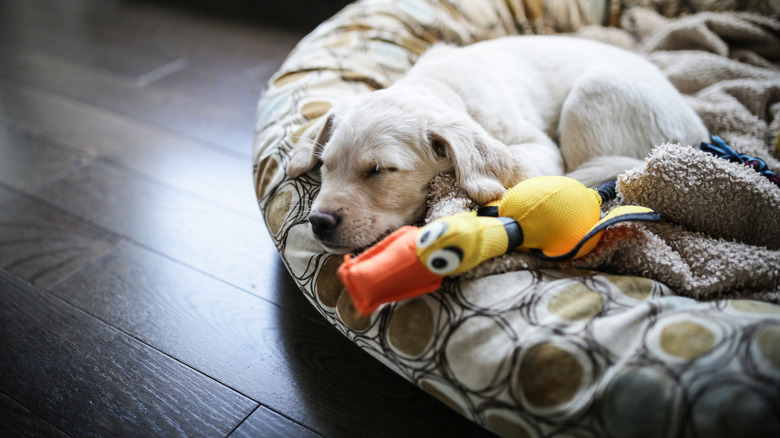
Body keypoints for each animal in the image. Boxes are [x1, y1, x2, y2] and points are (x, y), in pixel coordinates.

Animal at [284, 36, 708, 255]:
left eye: (380, 171)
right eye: (325, 165)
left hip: (593, 92)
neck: (442, 86)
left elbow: (513, 165)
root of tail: (695, 130)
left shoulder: (538, 145)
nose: (318, 223)